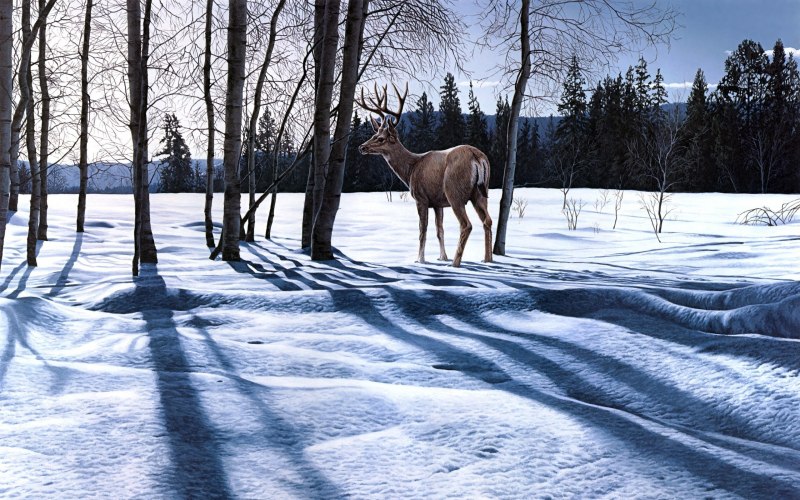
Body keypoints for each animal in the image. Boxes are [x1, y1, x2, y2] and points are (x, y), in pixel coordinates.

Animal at [357, 83, 493, 267]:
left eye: (381, 139)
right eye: (374, 134)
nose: (361, 147)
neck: (410, 169)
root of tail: (476, 156)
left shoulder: (421, 198)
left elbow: (423, 229)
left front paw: (420, 259)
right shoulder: (437, 203)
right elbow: (439, 229)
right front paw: (442, 257)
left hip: (454, 191)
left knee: (466, 225)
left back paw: (455, 263)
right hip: (480, 192)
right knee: (487, 220)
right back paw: (487, 259)